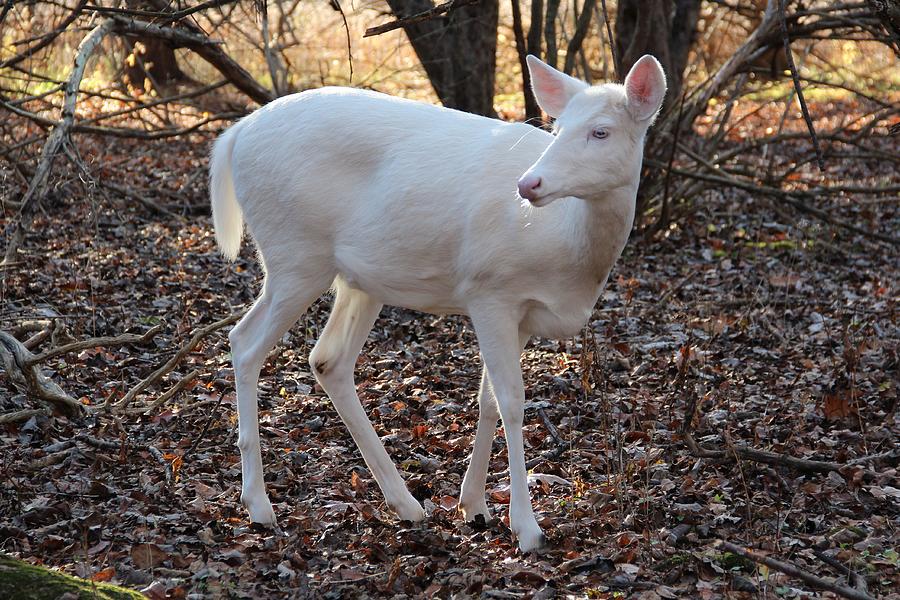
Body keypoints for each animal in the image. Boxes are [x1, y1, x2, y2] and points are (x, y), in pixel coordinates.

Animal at [207, 54, 664, 552]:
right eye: (558, 127)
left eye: (601, 131)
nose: (529, 184)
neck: (570, 250)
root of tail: (234, 135)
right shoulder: (489, 290)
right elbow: (512, 401)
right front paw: (526, 527)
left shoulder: (520, 315)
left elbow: (487, 400)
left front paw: (475, 505)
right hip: (295, 254)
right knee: (244, 342)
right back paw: (259, 506)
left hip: (358, 278)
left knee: (327, 360)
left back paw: (405, 504)